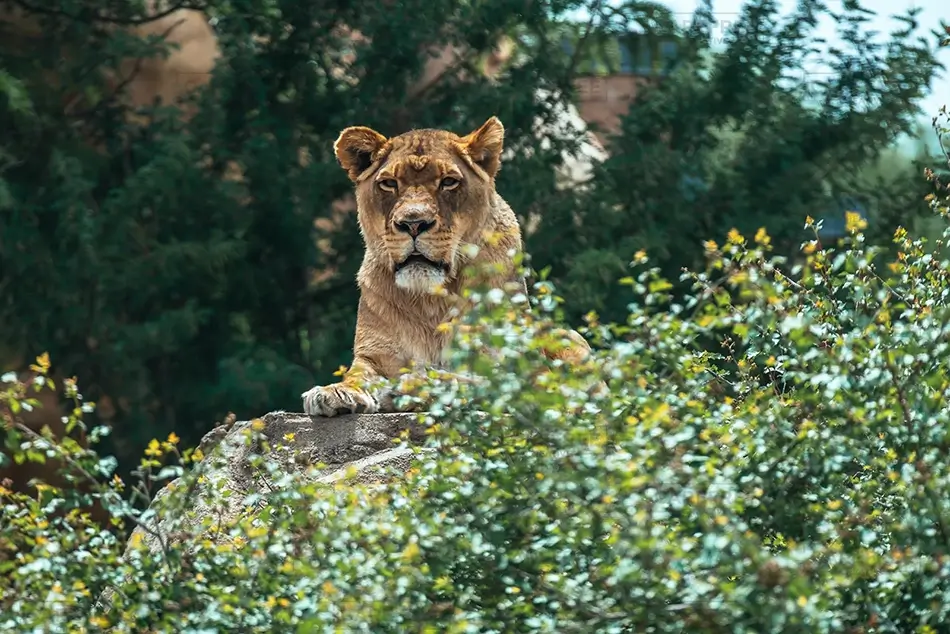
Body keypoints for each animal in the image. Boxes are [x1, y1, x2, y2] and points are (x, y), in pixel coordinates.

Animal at [301, 116, 595, 417]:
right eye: (389, 183)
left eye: (449, 182)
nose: (413, 223)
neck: (429, 300)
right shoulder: (374, 354)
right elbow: (356, 374)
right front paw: (334, 392)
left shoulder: (527, 376)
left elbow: (476, 381)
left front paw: (413, 387)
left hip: (566, 338)